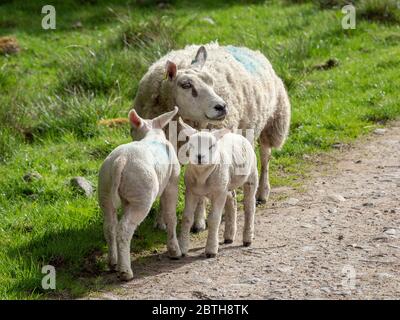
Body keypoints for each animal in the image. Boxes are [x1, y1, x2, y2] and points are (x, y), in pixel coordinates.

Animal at [98, 107, 181, 280]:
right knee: (124, 228)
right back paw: (125, 272)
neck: (152, 134)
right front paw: (174, 251)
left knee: (110, 226)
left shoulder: (125, 199)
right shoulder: (172, 182)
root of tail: (121, 160)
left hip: (105, 188)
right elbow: (171, 216)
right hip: (142, 194)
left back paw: (113, 263)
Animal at [134, 42, 290, 232]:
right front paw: (161, 221)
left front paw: (199, 222)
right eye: (186, 85)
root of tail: (249, 49)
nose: (222, 107)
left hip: (272, 121)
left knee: (266, 158)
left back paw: (262, 193)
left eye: (211, 82)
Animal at [178, 118, 260, 258]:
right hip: (226, 183)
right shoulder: (191, 191)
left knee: (249, 207)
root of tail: (236, 134)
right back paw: (229, 235)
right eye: (191, 145)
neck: (202, 177)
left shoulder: (218, 193)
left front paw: (211, 249)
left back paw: (247, 238)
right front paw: (183, 248)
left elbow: (214, 219)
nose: (199, 157)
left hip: (251, 176)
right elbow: (187, 218)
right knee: (232, 201)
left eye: (211, 146)